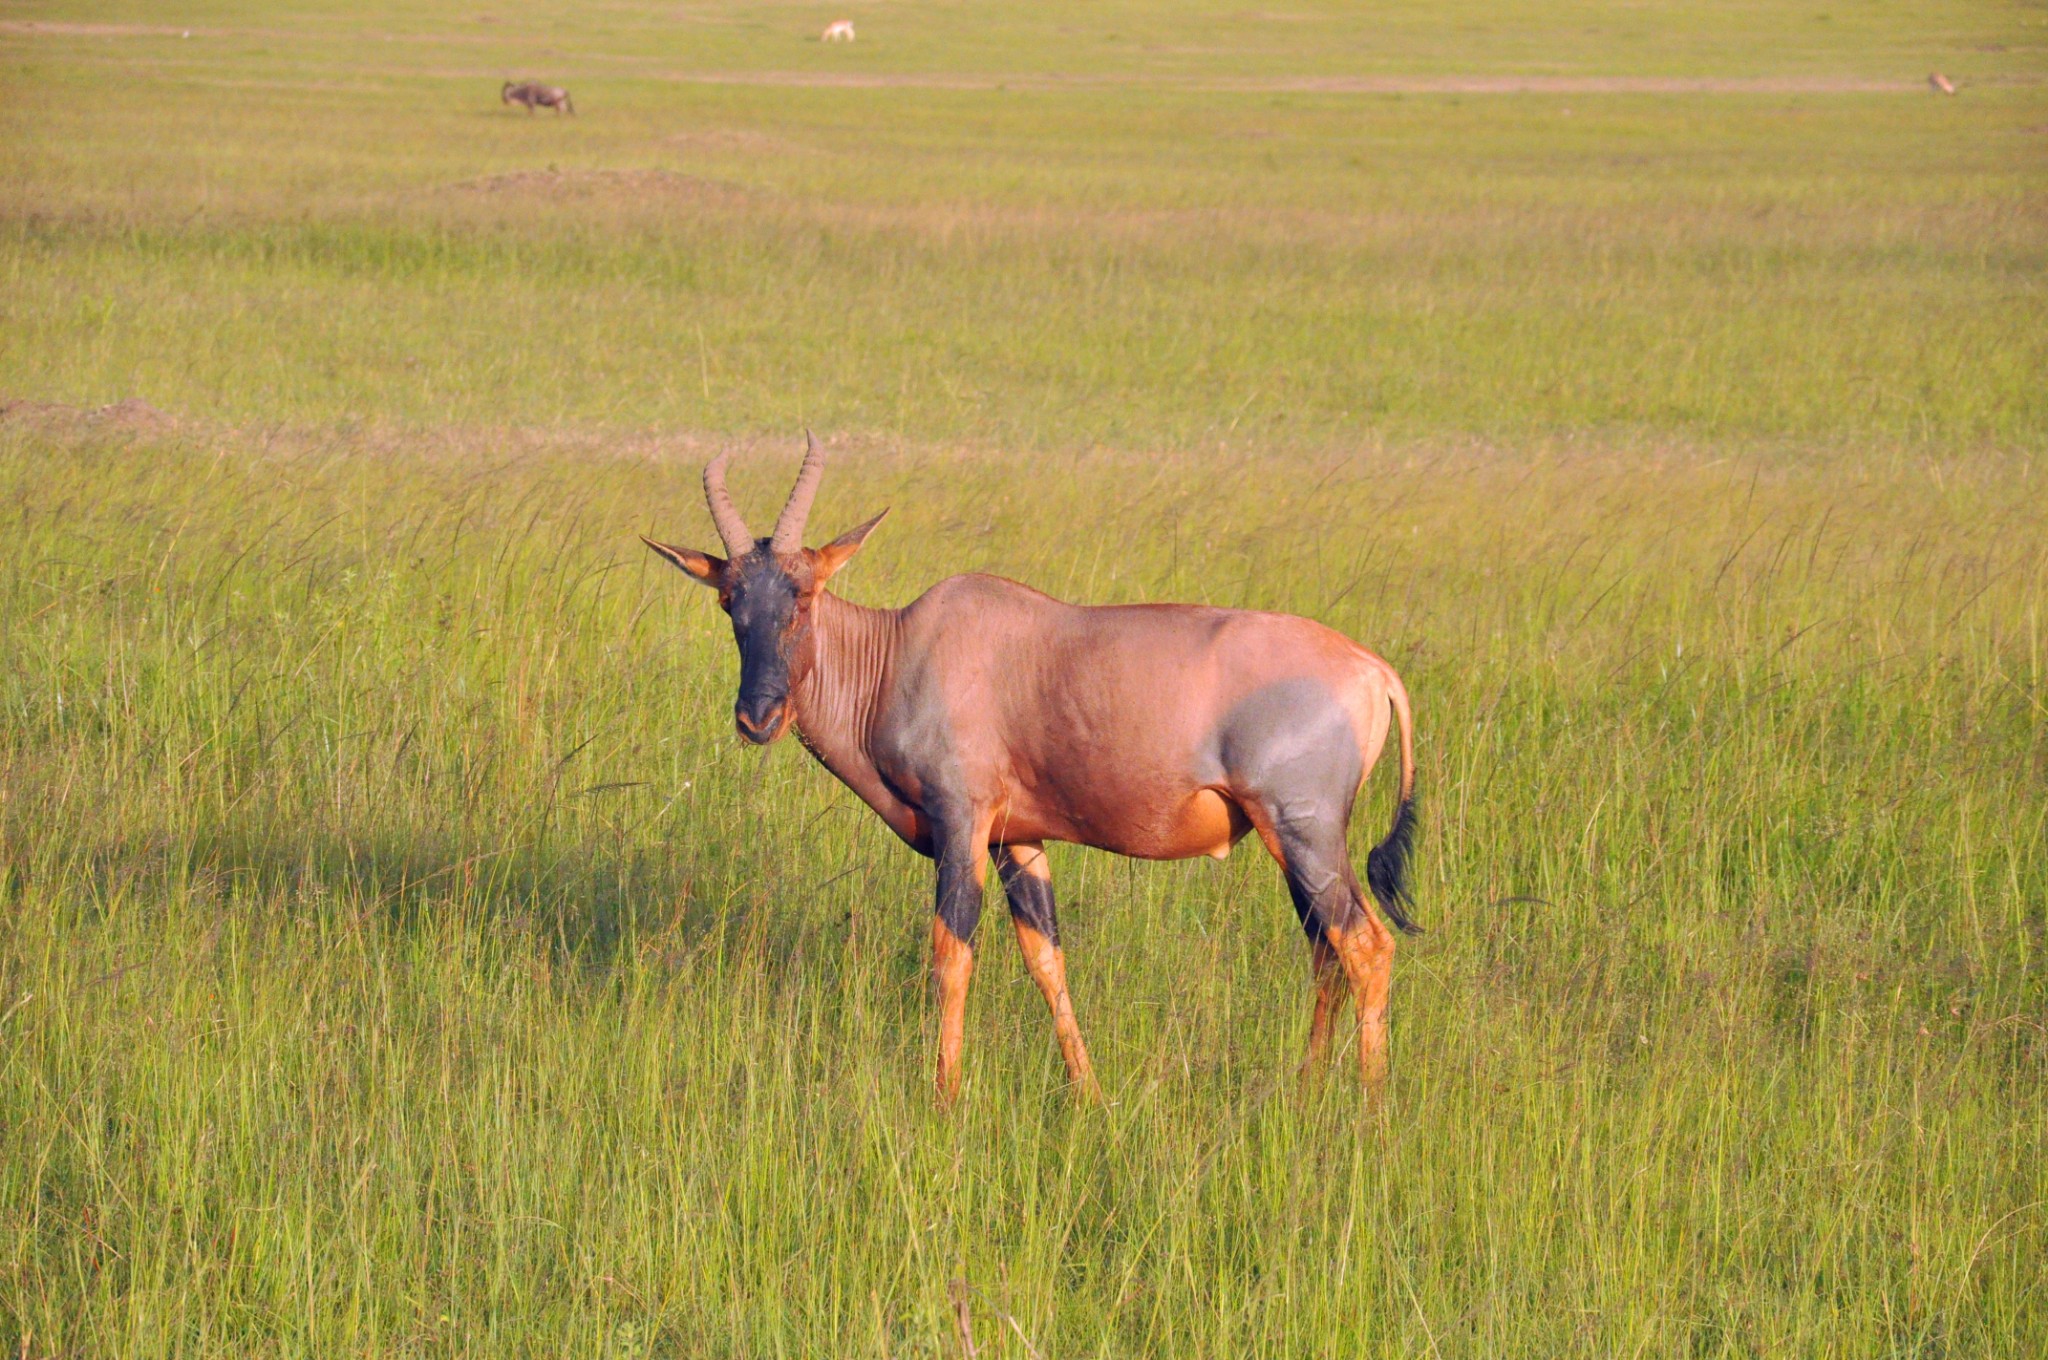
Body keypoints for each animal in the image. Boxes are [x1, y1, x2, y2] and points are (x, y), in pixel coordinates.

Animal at [647, 438, 1417, 1106]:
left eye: (802, 595)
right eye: (730, 601)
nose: (758, 717)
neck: (905, 649)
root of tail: (1373, 670)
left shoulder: (961, 821)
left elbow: (951, 950)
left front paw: (946, 1099)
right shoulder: (1017, 838)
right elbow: (1045, 958)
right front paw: (1090, 1096)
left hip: (1302, 829)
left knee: (1365, 946)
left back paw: (1371, 1109)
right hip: (1297, 843)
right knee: (1327, 951)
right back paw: (1307, 1089)